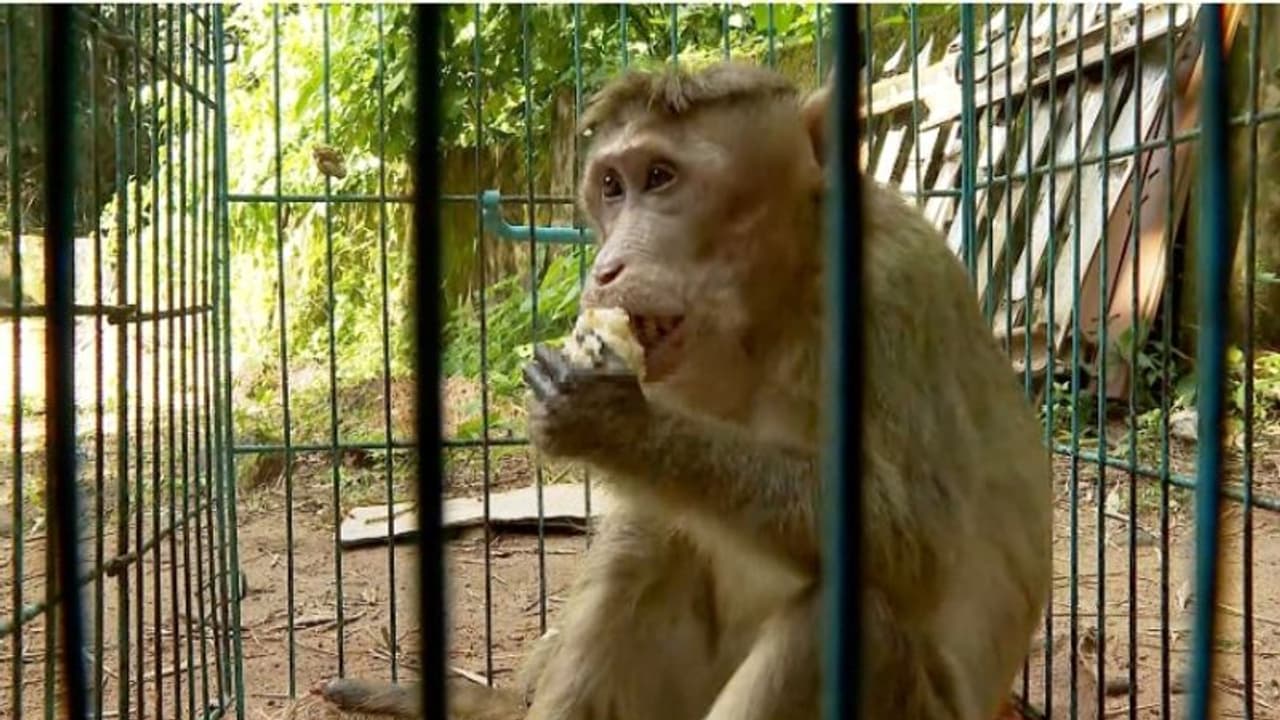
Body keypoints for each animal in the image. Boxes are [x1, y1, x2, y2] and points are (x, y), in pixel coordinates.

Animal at [317, 59, 1053, 720]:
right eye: (611, 187)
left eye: (661, 178)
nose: (606, 268)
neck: (770, 309)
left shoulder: (887, 287)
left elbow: (912, 538)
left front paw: (614, 422)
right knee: (644, 544)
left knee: (850, 619)